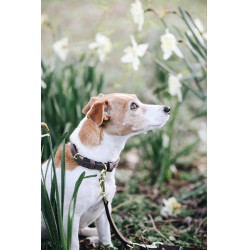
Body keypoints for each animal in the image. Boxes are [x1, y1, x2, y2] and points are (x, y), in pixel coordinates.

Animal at [41, 93, 170, 249]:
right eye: (133, 106)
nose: (168, 108)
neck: (93, 163)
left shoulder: (104, 209)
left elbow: (105, 235)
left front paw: (108, 244)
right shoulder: (70, 216)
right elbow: (74, 243)